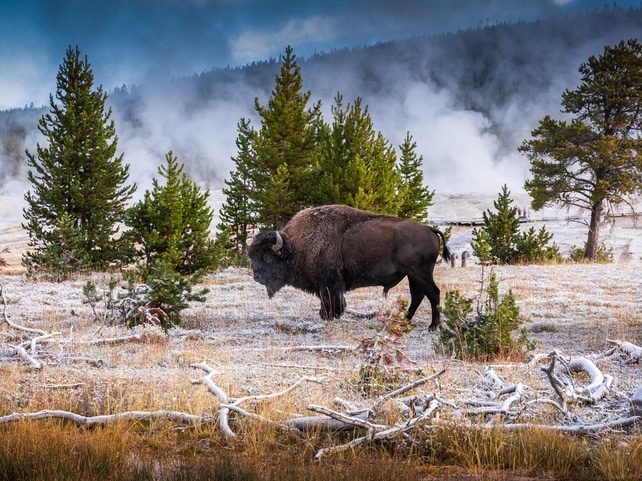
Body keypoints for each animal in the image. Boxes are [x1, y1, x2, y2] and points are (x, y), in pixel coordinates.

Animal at [248, 205, 451, 330]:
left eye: (267, 257)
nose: (256, 276)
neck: (295, 246)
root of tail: (429, 229)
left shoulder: (329, 283)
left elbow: (332, 301)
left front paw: (329, 315)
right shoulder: (326, 285)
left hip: (420, 273)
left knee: (433, 293)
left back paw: (432, 327)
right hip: (412, 275)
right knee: (418, 295)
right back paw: (403, 321)